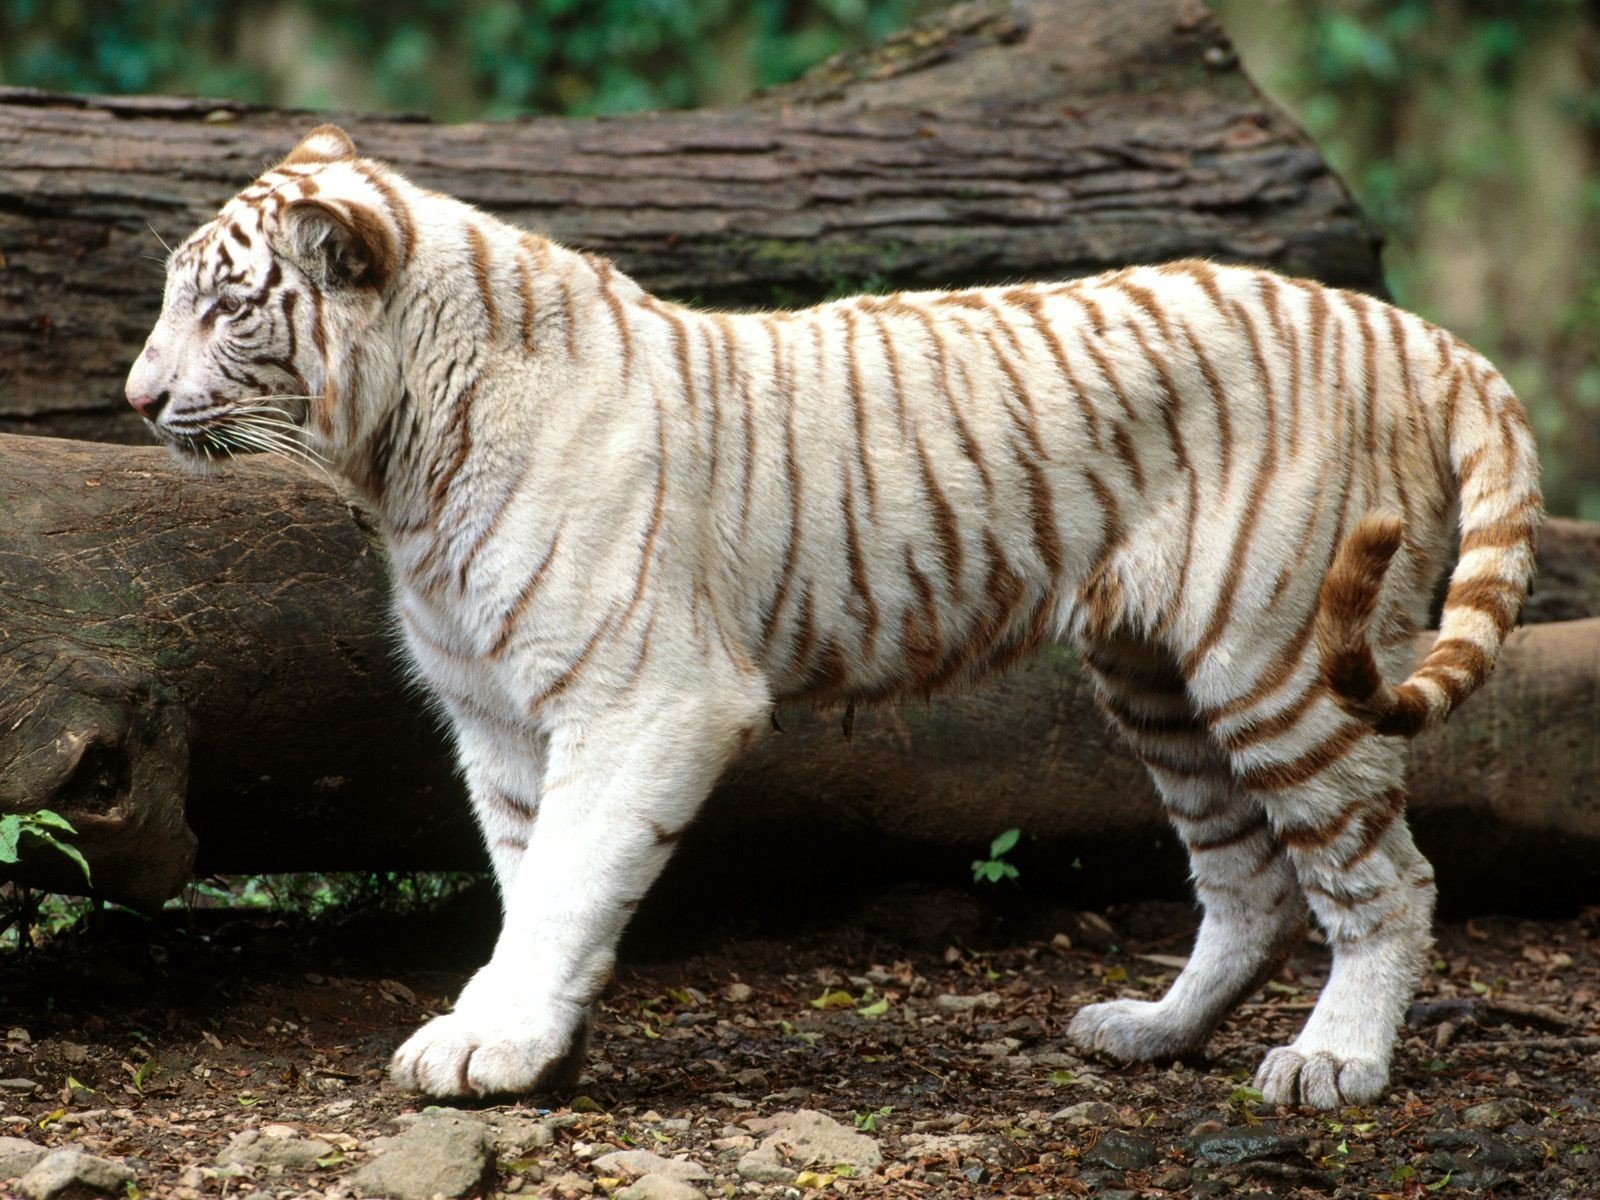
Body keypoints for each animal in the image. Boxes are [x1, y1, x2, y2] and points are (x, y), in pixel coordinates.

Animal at [125, 124, 1540, 1109]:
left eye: (226, 306)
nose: (136, 398)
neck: (401, 457)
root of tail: (1411, 330)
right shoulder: (501, 717)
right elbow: (531, 880)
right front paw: (528, 1046)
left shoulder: (647, 697)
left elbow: (571, 877)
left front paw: (496, 1043)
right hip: (1153, 675)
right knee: (1246, 881)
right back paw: (1147, 1034)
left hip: (1282, 656)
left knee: (1381, 880)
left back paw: (1332, 1065)